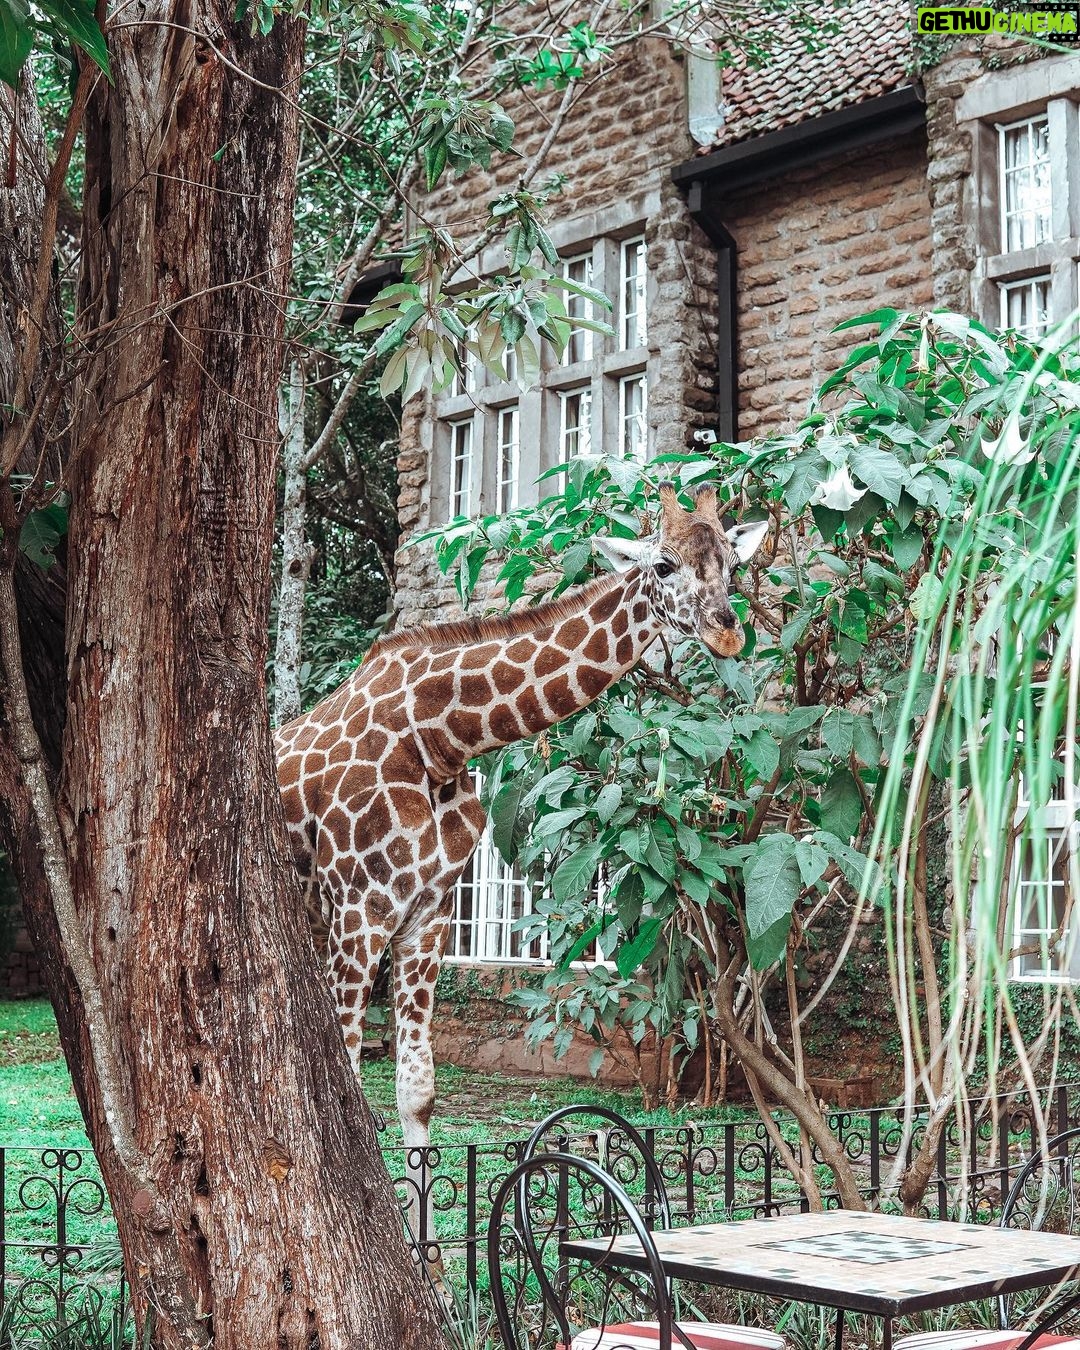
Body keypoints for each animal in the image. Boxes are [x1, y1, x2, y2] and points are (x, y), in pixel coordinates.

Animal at [273, 482, 767, 1227]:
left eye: (733, 569)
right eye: (662, 566)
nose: (727, 629)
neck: (443, 739)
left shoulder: (424, 917)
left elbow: (417, 1089)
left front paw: (425, 1259)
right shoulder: (359, 910)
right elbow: (352, 1084)